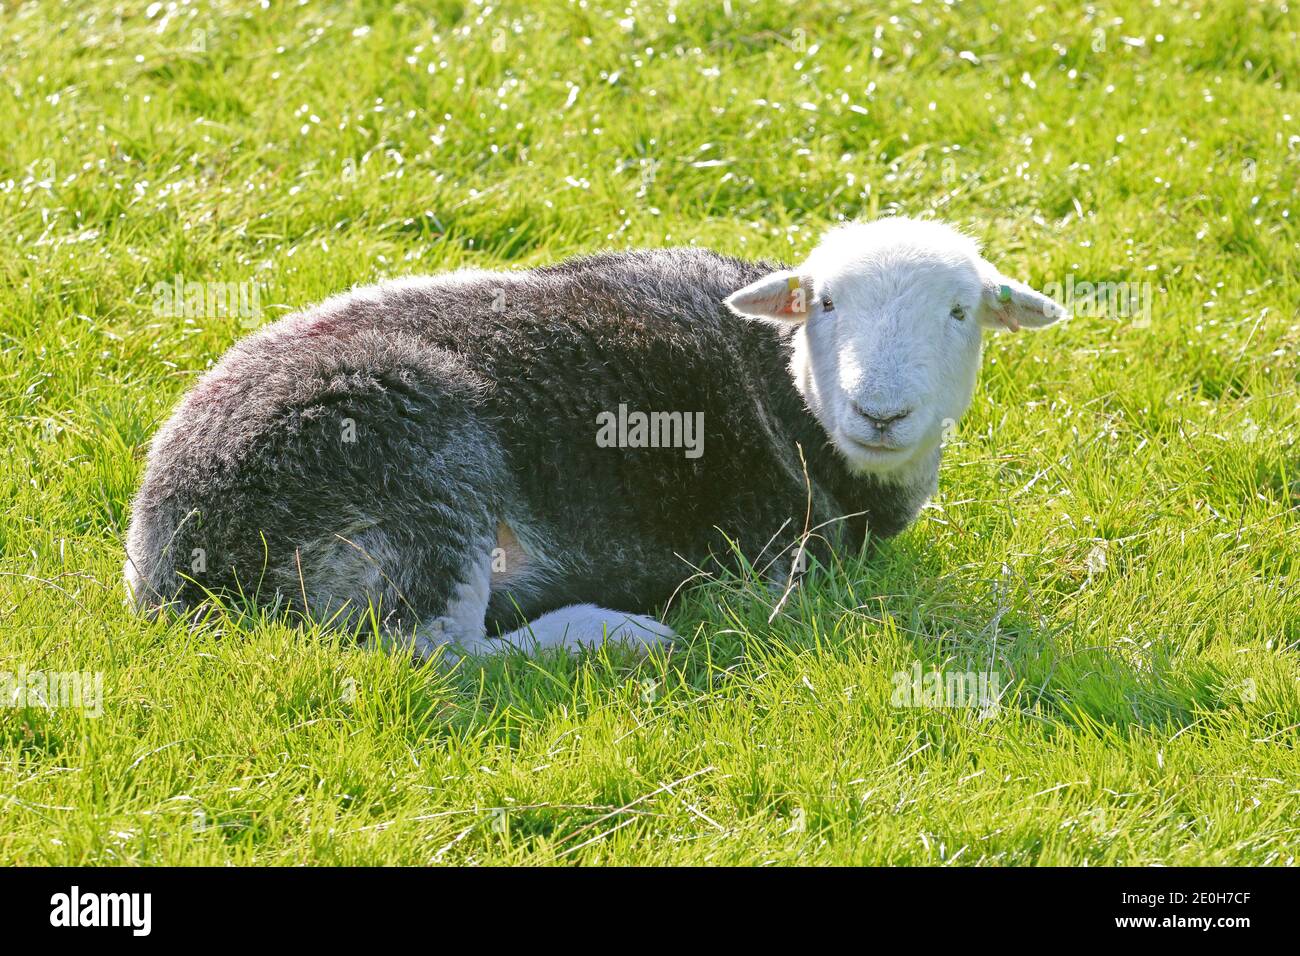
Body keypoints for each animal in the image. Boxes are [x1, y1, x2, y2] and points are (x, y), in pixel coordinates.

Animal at [124, 217, 1066, 660]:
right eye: (825, 303)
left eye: (960, 312)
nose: (882, 413)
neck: (789, 387)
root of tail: (174, 556)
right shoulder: (783, 555)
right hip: (422, 471)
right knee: (435, 654)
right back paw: (619, 633)